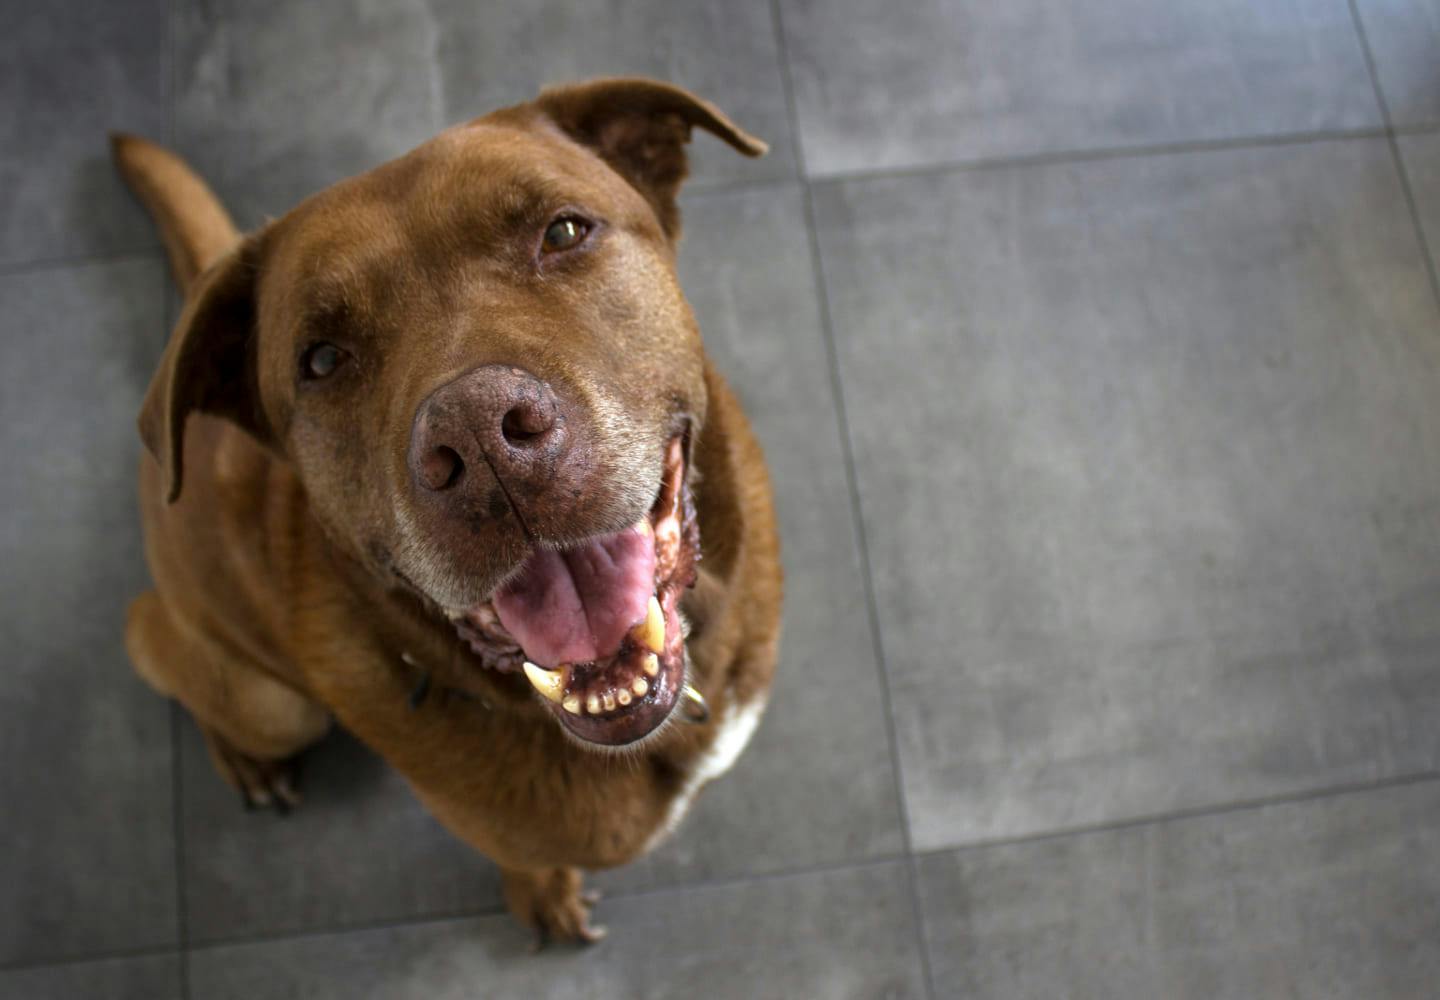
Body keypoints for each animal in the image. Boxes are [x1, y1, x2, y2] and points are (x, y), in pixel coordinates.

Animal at [109, 80, 789, 945]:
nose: (479, 435)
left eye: (564, 232)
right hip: (269, 699)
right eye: (321, 358)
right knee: (152, 638)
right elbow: (528, 861)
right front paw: (544, 894)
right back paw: (244, 757)